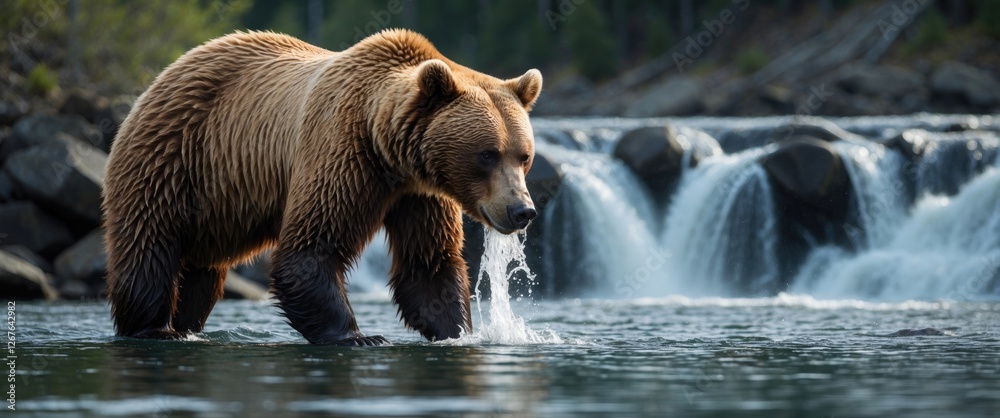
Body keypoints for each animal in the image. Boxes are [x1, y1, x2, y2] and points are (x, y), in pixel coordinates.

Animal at [102, 29, 542, 346]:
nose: (522, 211)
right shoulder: (342, 152)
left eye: (523, 155)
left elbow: (428, 265)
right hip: (173, 157)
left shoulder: (420, 194)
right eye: (487, 154)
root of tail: (165, 73)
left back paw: (188, 322)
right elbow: (310, 249)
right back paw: (156, 328)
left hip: (220, 202)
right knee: (150, 246)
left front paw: (457, 331)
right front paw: (360, 336)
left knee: (202, 273)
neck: (388, 150)